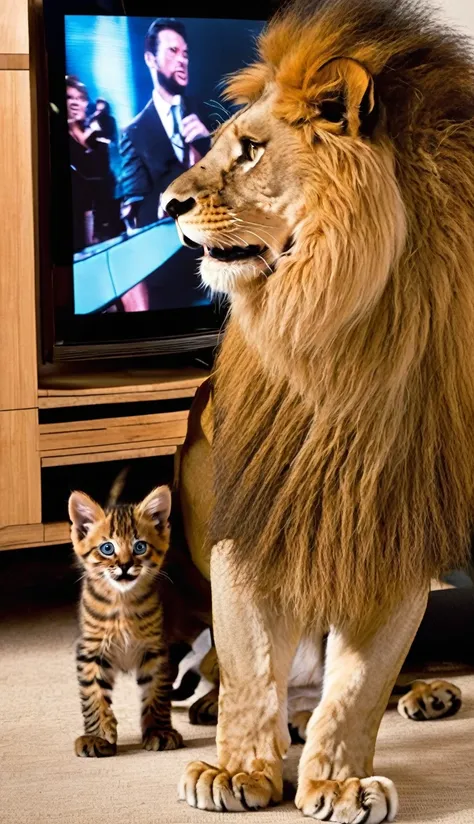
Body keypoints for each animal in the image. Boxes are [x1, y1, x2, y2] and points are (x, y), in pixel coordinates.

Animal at [68, 482, 183, 760]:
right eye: (107, 548)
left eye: (139, 547)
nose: (124, 566)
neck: (122, 602)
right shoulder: (90, 648)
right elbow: (93, 693)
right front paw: (97, 736)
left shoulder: (156, 648)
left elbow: (156, 692)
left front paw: (159, 731)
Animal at [163, 1, 474, 816]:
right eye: (217, 146)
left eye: (249, 152)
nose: (166, 205)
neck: (332, 331)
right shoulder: (253, 511)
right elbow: (248, 663)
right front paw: (237, 770)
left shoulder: (390, 519)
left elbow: (359, 683)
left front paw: (336, 778)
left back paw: (421, 693)